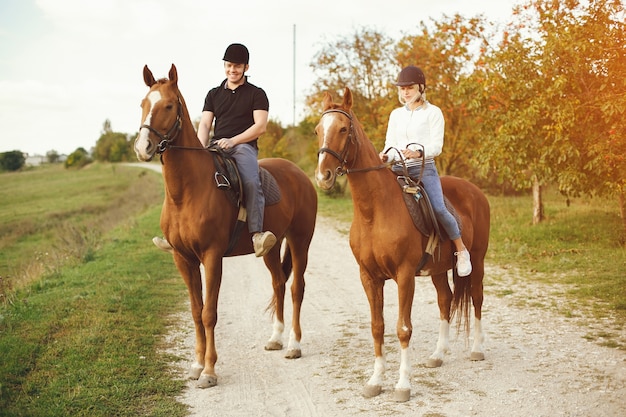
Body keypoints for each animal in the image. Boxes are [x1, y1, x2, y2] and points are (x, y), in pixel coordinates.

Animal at [133, 64, 316, 386]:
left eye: (168, 106)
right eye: (144, 103)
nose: (143, 148)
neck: (188, 191)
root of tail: (300, 174)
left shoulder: (211, 256)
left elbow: (209, 313)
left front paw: (209, 371)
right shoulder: (183, 259)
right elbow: (196, 311)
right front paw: (196, 365)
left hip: (300, 241)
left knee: (297, 288)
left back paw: (294, 345)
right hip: (272, 247)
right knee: (279, 283)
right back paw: (276, 339)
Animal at [312, 87, 488, 400]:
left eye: (343, 129)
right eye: (318, 130)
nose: (324, 176)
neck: (375, 212)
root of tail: (475, 191)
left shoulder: (405, 276)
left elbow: (403, 328)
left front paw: (403, 385)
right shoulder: (369, 277)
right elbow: (377, 327)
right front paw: (375, 381)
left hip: (477, 260)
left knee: (476, 298)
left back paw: (477, 349)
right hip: (438, 270)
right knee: (445, 301)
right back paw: (438, 355)